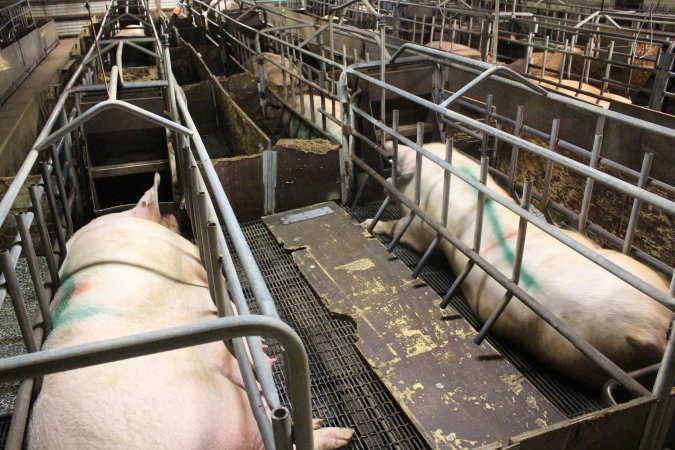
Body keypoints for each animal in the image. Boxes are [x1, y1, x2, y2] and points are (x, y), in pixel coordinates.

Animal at [368, 143, 672, 386]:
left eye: (398, 161)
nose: (388, 147)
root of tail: (652, 326)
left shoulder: (424, 225)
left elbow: (407, 234)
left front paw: (372, 224)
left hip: (576, 355)